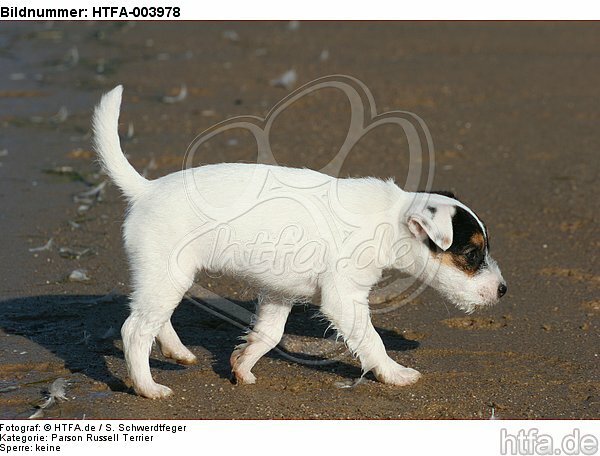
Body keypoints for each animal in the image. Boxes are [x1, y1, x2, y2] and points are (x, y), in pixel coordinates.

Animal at [94, 86, 506, 400]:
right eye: (471, 254)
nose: (503, 290)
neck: (391, 218)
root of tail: (146, 189)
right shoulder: (343, 298)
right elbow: (371, 340)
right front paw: (393, 373)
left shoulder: (280, 292)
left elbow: (268, 333)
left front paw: (243, 365)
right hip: (167, 275)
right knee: (135, 330)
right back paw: (147, 387)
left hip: (165, 278)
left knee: (155, 319)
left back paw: (177, 352)